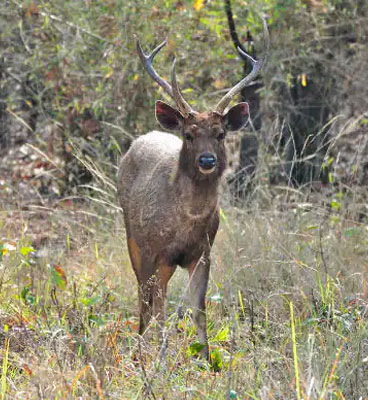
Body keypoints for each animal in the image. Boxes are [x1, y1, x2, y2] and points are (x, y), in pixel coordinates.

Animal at [118, 18, 270, 360]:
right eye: (189, 134)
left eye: (220, 133)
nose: (207, 160)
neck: (187, 221)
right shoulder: (157, 250)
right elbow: (159, 308)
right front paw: (158, 359)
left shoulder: (203, 252)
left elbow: (198, 310)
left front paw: (207, 360)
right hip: (133, 236)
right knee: (143, 298)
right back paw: (139, 347)